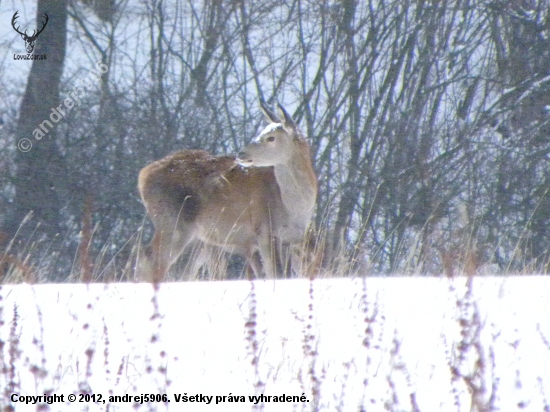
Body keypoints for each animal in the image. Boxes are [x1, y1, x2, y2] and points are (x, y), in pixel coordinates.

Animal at [137, 103, 320, 284]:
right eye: (261, 133)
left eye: (271, 138)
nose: (241, 154)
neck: (293, 208)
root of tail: (142, 176)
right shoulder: (265, 229)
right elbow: (276, 274)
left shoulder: (291, 239)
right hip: (173, 222)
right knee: (152, 260)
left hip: (196, 238)